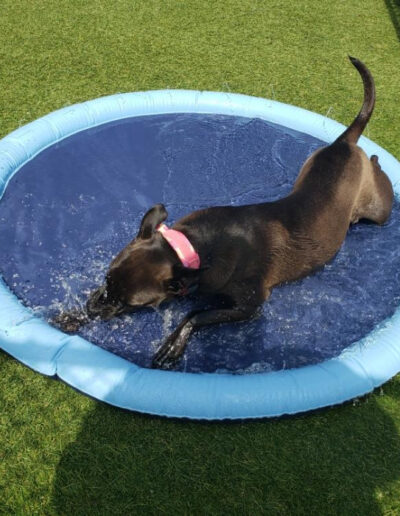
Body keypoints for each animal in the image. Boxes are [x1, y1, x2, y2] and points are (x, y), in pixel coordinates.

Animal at [61, 56, 392, 368]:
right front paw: (75, 316)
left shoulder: (249, 306)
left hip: (378, 210)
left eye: (131, 304)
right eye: (107, 279)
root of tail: (343, 143)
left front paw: (173, 344)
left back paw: (377, 160)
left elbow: (195, 313)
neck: (192, 246)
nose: (94, 307)